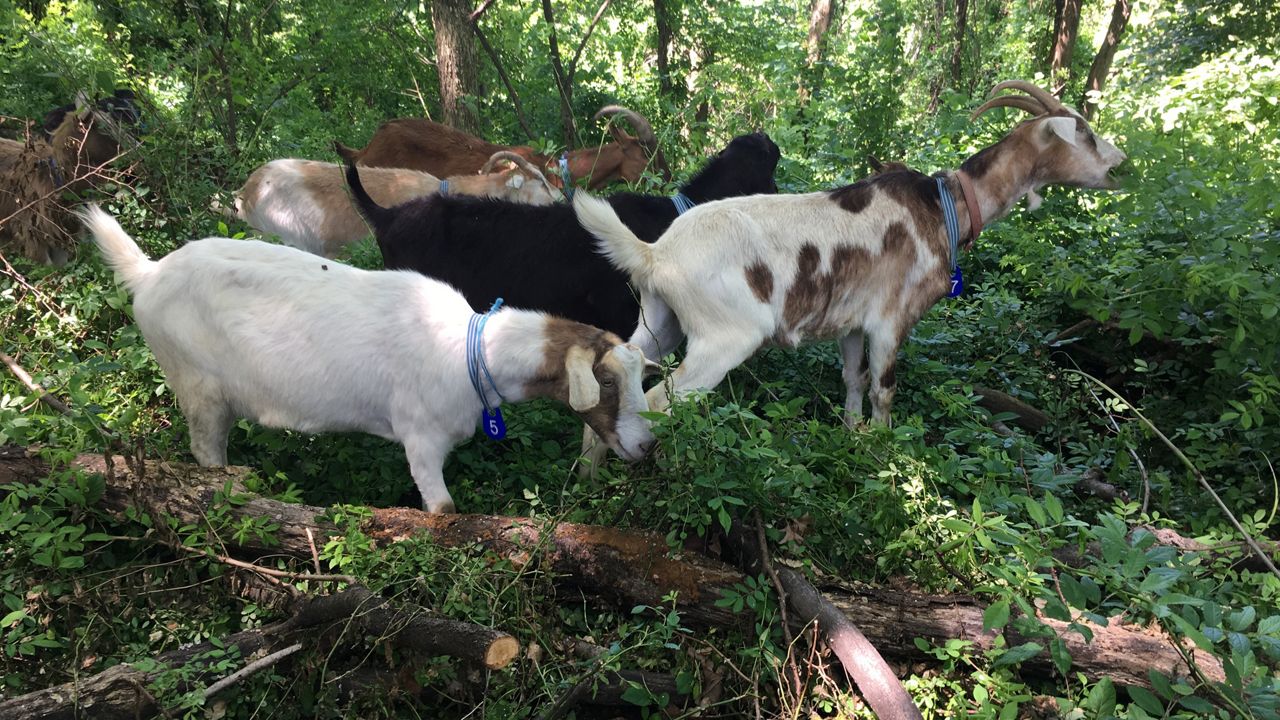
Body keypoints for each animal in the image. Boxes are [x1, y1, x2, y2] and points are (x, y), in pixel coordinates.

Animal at [81, 205, 659, 513]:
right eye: (606, 382)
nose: (648, 446)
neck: (470, 349)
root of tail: (149, 274)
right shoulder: (421, 440)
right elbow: (443, 510)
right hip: (198, 387)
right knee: (206, 451)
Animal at [574, 80, 1126, 432]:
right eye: (1084, 132)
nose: (1119, 163)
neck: (942, 206)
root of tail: (654, 252)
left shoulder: (852, 323)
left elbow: (853, 381)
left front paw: (851, 437)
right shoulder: (890, 320)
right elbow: (884, 390)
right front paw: (883, 455)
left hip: (659, 319)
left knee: (620, 369)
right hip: (723, 337)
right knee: (656, 399)